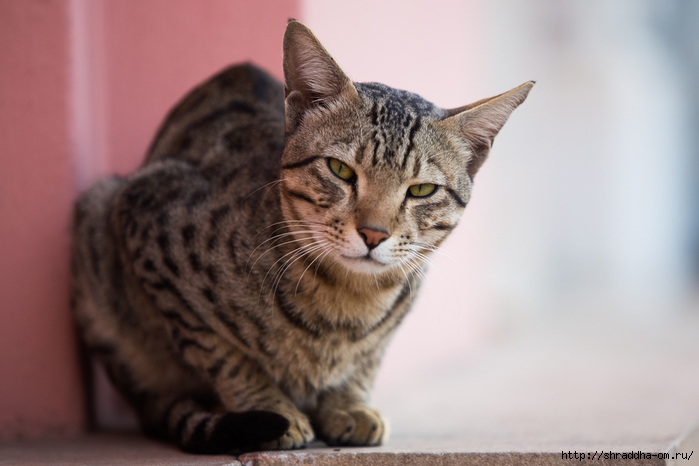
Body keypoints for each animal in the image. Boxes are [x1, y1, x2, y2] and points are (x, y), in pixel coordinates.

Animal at [69, 20, 532, 454]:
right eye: (340, 170)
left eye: (420, 190)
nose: (374, 233)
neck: (348, 302)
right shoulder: (147, 222)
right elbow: (223, 355)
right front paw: (271, 407)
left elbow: (369, 358)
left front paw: (348, 404)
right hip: (97, 220)